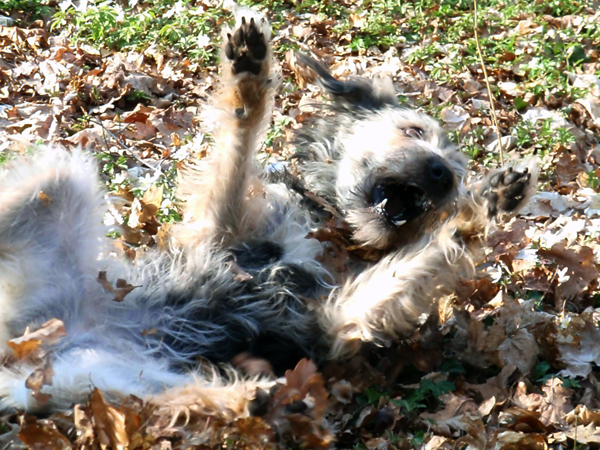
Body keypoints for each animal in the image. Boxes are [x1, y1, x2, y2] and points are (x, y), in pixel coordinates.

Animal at [0, 7, 536, 418]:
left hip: (109, 378)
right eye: (414, 131)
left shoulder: (332, 318)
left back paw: (250, 396)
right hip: (57, 183)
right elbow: (241, 136)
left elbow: (418, 262)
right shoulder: (216, 227)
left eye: (458, 174)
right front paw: (249, 78)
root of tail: (33, 351)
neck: (330, 221)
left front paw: (481, 209)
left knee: (171, 396)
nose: (443, 175)